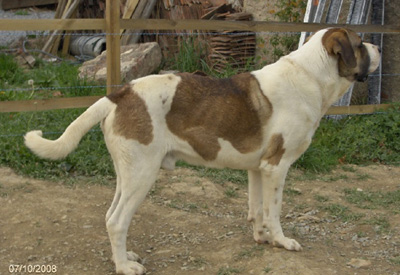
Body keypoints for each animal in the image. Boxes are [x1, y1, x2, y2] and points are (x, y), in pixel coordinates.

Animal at [25, 28, 382, 275]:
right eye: (360, 43)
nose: (379, 47)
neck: (311, 75)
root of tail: (121, 93)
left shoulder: (258, 169)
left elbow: (257, 210)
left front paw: (262, 238)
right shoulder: (276, 167)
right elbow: (274, 211)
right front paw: (282, 241)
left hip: (127, 176)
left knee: (110, 215)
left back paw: (125, 256)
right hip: (142, 175)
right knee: (116, 221)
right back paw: (125, 267)